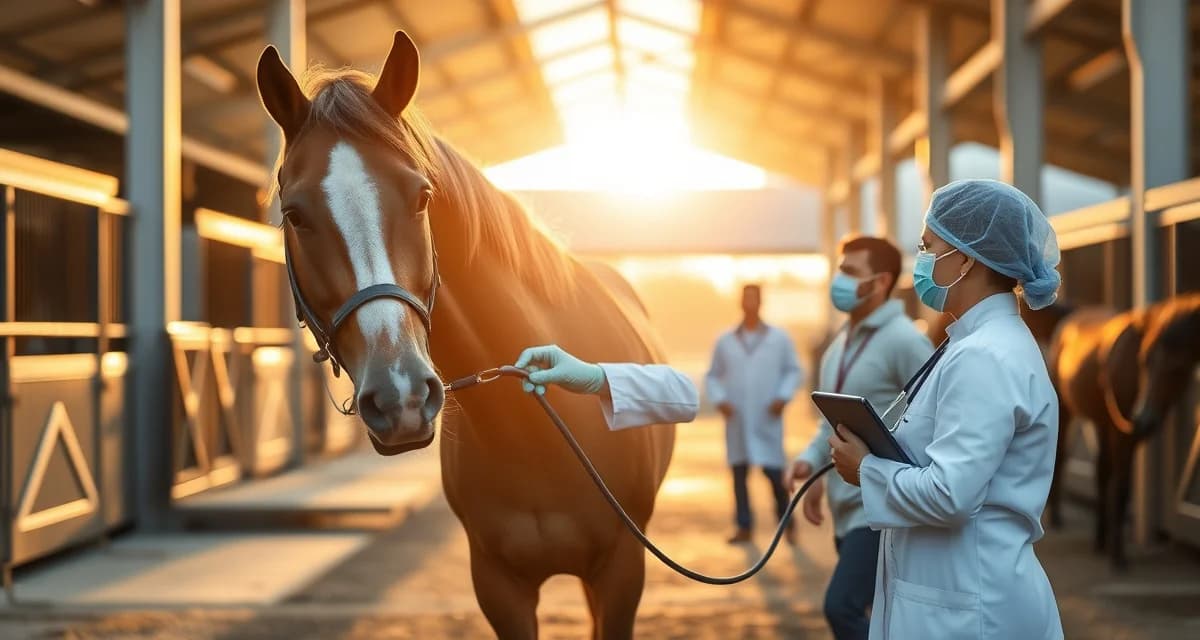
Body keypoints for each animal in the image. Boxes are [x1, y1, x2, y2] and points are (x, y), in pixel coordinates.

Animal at [256, 32, 676, 638]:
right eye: (295, 215)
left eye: (422, 196)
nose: (401, 397)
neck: (536, 435)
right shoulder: (498, 585)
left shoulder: (622, 571)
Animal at [1046, 293, 1200, 569]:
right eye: (1145, 360)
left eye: (1178, 366)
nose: (1143, 419)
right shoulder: (1124, 434)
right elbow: (1122, 487)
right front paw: (1118, 558)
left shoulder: (1126, 433)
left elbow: (1120, 485)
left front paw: (1111, 547)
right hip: (1068, 411)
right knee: (1062, 457)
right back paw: (1058, 519)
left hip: (1102, 423)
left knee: (1101, 471)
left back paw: (1100, 540)